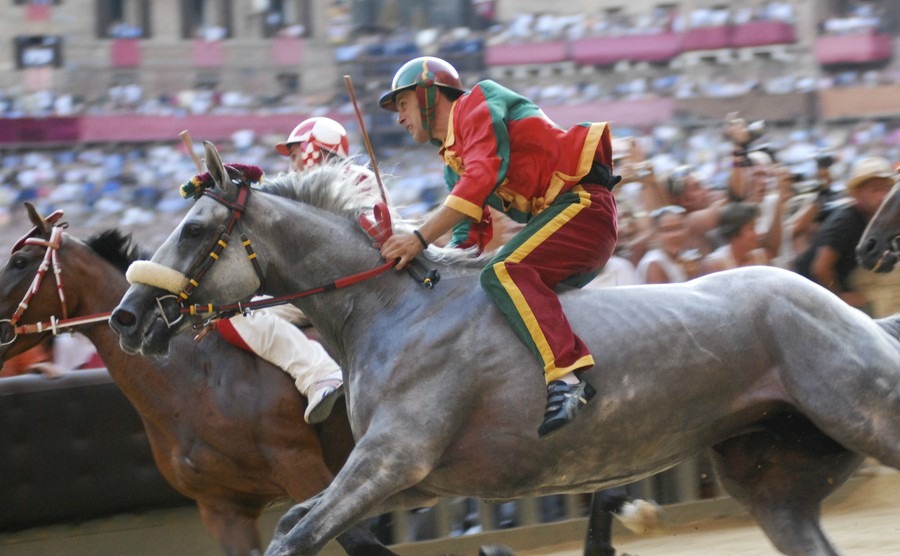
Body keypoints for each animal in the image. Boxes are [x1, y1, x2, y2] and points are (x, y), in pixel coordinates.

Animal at [110, 143, 900, 556]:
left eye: (193, 228)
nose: (127, 314)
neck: (389, 309)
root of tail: (848, 311)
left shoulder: (392, 459)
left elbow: (294, 537)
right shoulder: (413, 480)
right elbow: (301, 522)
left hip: (865, 414)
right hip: (773, 479)